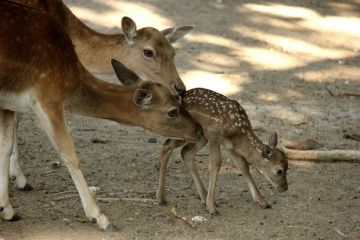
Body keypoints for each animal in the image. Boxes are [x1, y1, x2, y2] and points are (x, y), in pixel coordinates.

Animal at [0, 1, 200, 231]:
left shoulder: (9, 103)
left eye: (173, 52)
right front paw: (100, 217)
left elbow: (5, 145)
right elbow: (69, 154)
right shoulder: (47, 99)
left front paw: (7, 206)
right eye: (148, 52)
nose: (181, 88)